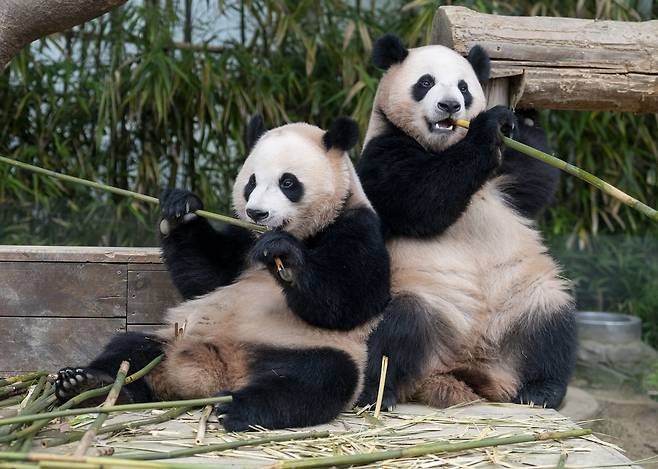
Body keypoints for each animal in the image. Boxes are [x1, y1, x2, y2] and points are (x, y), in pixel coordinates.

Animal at [55, 116, 391, 431]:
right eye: (251, 182)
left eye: (288, 182)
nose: (257, 213)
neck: (306, 234)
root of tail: (217, 377)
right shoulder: (242, 239)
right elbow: (207, 278)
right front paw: (180, 208)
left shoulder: (356, 226)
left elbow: (350, 299)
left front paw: (284, 254)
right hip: (172, 339)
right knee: (129, 350)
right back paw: (88, 385)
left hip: (307, 348)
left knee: (315, 378)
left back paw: (238, 408)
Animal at [355, 34, 576, 410]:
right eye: (425, 82)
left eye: (463, 86)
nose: (450, 107)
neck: (441, 147)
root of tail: (463, 366)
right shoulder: (382, 153)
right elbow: (421, 199)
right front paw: (488, 126)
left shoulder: (506, 176)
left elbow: (537, 178)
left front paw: (524, 118)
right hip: (425, 299)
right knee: (396, 329)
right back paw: (377, 394)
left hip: (523, 301)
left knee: (551, 327)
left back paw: (541, 390)